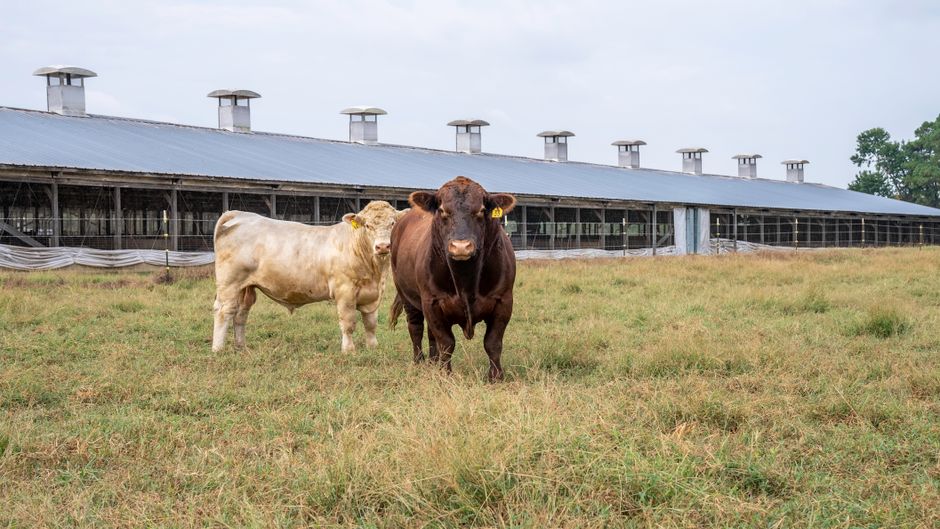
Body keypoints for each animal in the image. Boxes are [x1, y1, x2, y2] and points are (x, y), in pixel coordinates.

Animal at [211, 201, 406, 353]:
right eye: (367, 226)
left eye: (393, 223)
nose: (383, 246)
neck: (374, 272)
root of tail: (240, 215)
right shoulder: (345, 291)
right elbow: (348, 322)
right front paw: (348, 350)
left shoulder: (372, 295)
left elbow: (371, 323)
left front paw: (373, 347)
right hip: (229, 283)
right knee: (224, 311)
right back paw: (218, 349)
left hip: (245, 287)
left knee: (241, 314)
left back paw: (241, 347)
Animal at [390, 176, 517, 381]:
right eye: (442, 210)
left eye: (481, 210)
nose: (461, 247)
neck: (465, 280)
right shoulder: (432, 301)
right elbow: (446, 342)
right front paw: (445, 374)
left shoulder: (503, 300)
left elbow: (493, 342)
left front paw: (496, 376)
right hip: (406, 295)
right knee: (415, 328)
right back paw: (419, 361)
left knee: (430, 334)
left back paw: (433, 362)